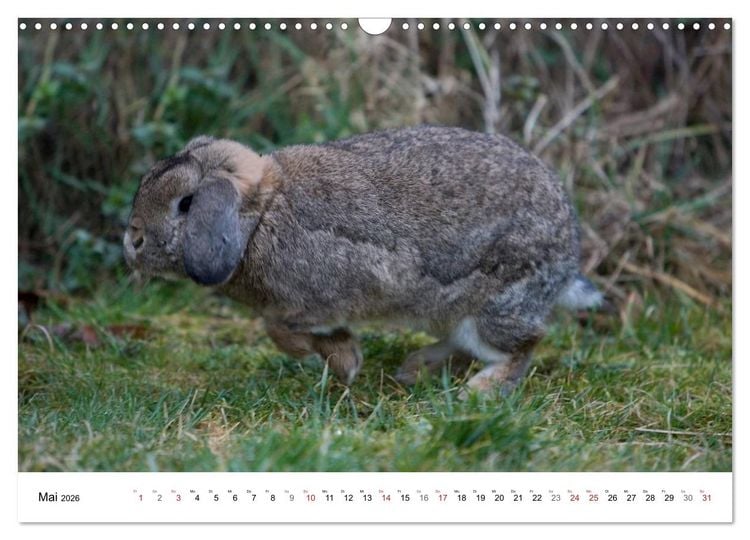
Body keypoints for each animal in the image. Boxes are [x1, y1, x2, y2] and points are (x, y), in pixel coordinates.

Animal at [124, 126, 602, 395]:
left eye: (186, 204)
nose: (131, 240)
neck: (260, 215)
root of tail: (567, 257)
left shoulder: (319, 298)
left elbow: (279, 330)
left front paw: (345, 364)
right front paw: (346, 359)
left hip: (497, 303)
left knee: (522, 345)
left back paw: (480, 392)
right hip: (449, 312)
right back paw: (414, 369)